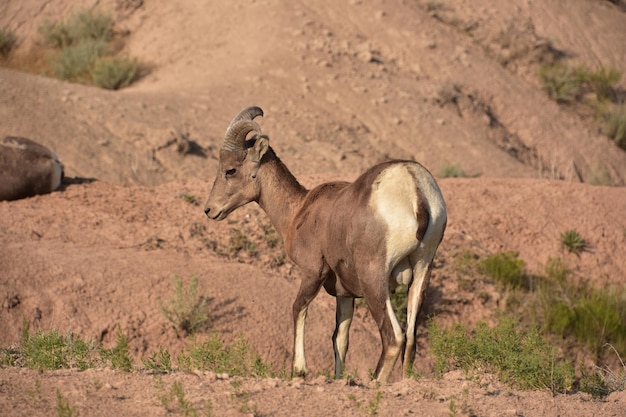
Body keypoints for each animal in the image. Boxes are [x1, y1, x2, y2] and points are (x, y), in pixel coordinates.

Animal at [204, 106, 444, 380]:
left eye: (230, 170)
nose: (210, 210)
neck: (299, 210)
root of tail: (414, 189)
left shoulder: (312, 273)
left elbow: (297, 308)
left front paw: (299, 370)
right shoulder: (345, 294)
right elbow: (339, 339)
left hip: (374, 279)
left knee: (394, 337)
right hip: (422, 271)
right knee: (411, 338)